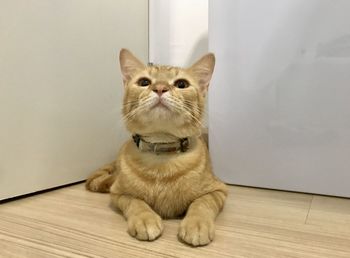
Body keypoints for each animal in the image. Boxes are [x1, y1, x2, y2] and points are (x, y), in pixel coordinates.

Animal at [85, 49, 227, 247]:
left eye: (181, 84)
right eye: (144, 82)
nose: (160, 88)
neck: (161, 158)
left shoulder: (218, 190)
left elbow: (201, 203)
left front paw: (196, 224)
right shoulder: (119, 193)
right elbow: (136, 202)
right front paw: (145, 219)